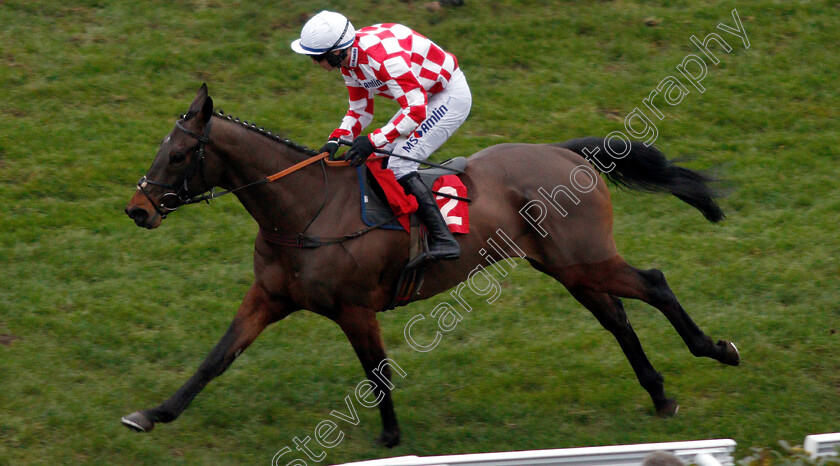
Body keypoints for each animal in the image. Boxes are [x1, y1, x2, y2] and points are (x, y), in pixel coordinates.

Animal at [121, 84, 740, 448]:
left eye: (180, 154)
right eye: (161, 148)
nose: (137, 209)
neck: (305, 208)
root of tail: (565, 152)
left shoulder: (354, 308)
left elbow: (376, 371)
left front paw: (391, 437)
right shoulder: (269, 298)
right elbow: (216, 358)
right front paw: (152, 413)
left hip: (586, 259)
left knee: (654, 284)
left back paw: (716, 349)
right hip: (569, 268)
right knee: (617, 318)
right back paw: (660, 395)